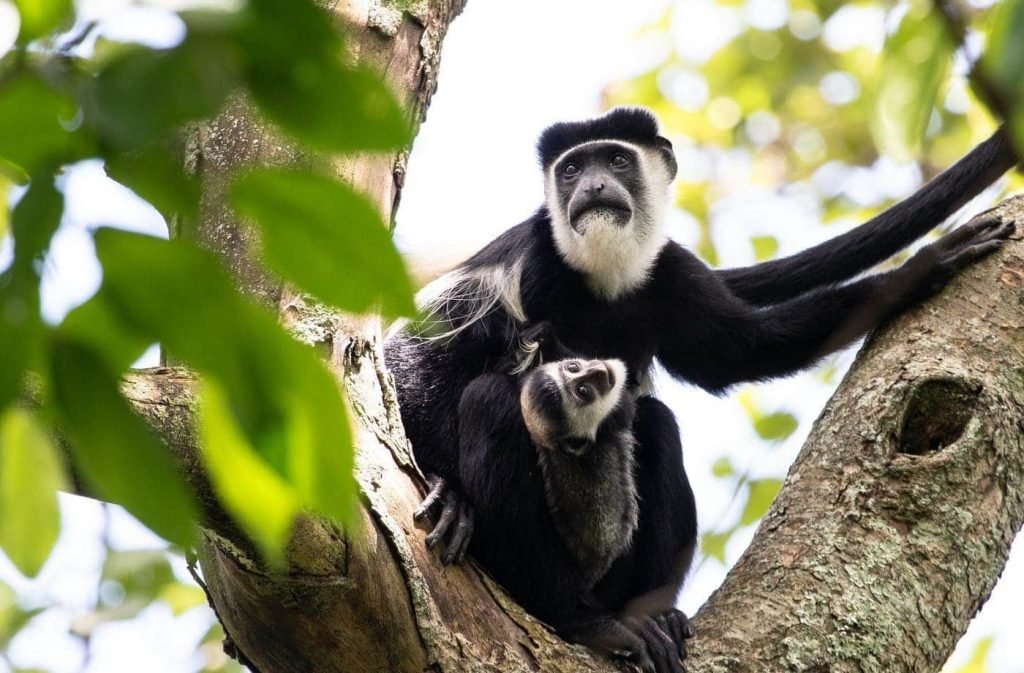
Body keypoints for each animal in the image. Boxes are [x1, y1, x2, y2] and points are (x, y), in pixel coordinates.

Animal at [387, 109, 1019, 561]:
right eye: (571, 170)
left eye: (614, 160)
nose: (592, 186)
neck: (605, 277)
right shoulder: (530, 265)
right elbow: (415, 358)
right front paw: (450, 492)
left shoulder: (671, 274)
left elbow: (736, 352)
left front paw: (924, 267)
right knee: (486, 395)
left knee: (657, 423)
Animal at [460, 323, 692, 671]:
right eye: (583, 391)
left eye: (573, 367)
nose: (599, 372)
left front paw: (541, 341)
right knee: (486, 398)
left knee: (658, 424)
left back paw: (662, 621)